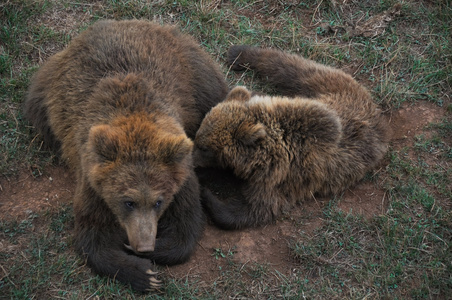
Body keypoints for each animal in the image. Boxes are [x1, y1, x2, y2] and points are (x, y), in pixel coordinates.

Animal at [23, 19, 228, 292]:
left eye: (158, 201)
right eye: (128, 201)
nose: (144, 245)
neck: (135, 118)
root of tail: (124, 22)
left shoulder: (180, 175)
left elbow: (186, 225)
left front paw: (149, 255)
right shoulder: (92, 181)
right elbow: (93, 237)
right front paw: (144, 274)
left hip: (196, 74)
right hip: (47, 95)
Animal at [194, 46, 388, 230]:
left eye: (204, 148)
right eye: (198, 137)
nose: (193, 160)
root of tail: (376, 112)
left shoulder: (279, 181)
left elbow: (253, 209)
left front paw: (206, 194)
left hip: (336, 88)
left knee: (299, 69)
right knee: (293, 68)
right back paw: (240, 53)